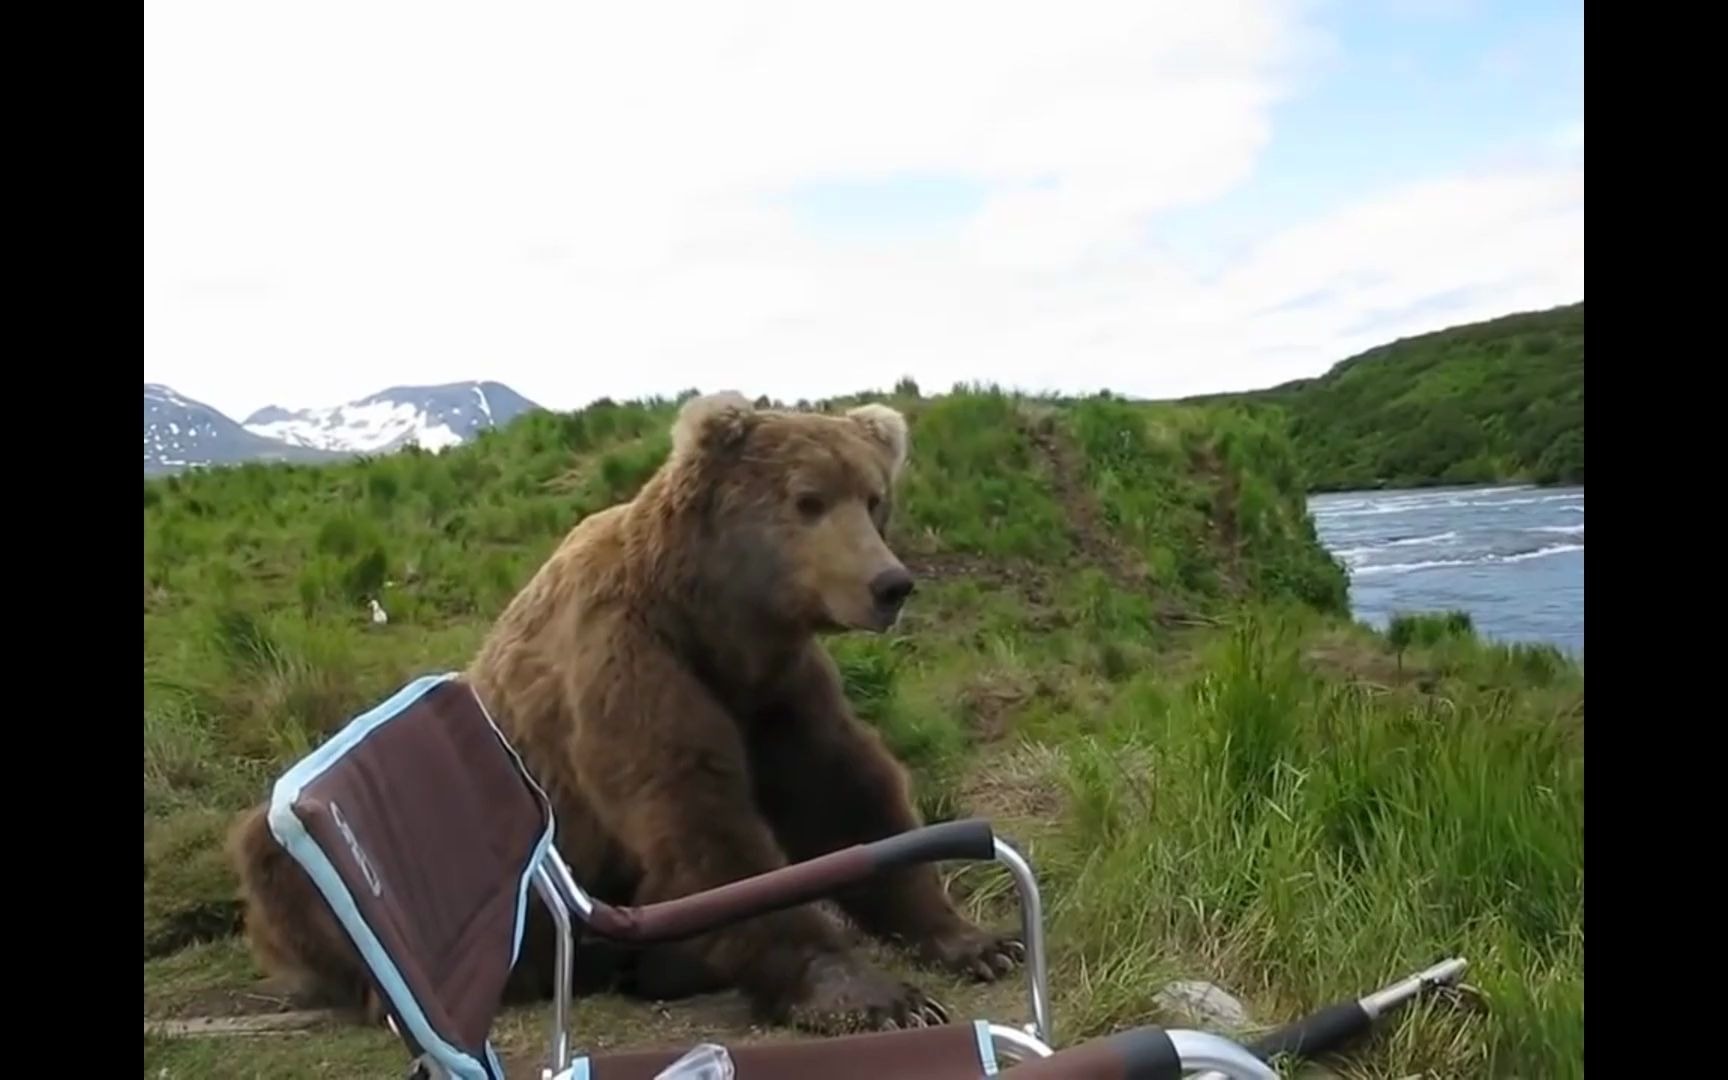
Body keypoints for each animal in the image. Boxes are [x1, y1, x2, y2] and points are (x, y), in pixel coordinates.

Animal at [236, 392, 1029, 1029]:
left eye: (872, 498)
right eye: (808, 499)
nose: (890, 584)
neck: (711, 620)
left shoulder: (775, 689)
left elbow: (846, 794)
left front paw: (977, 941)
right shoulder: (628, 664)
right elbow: (701, 823)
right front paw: (870, 995)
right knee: (276, 864)